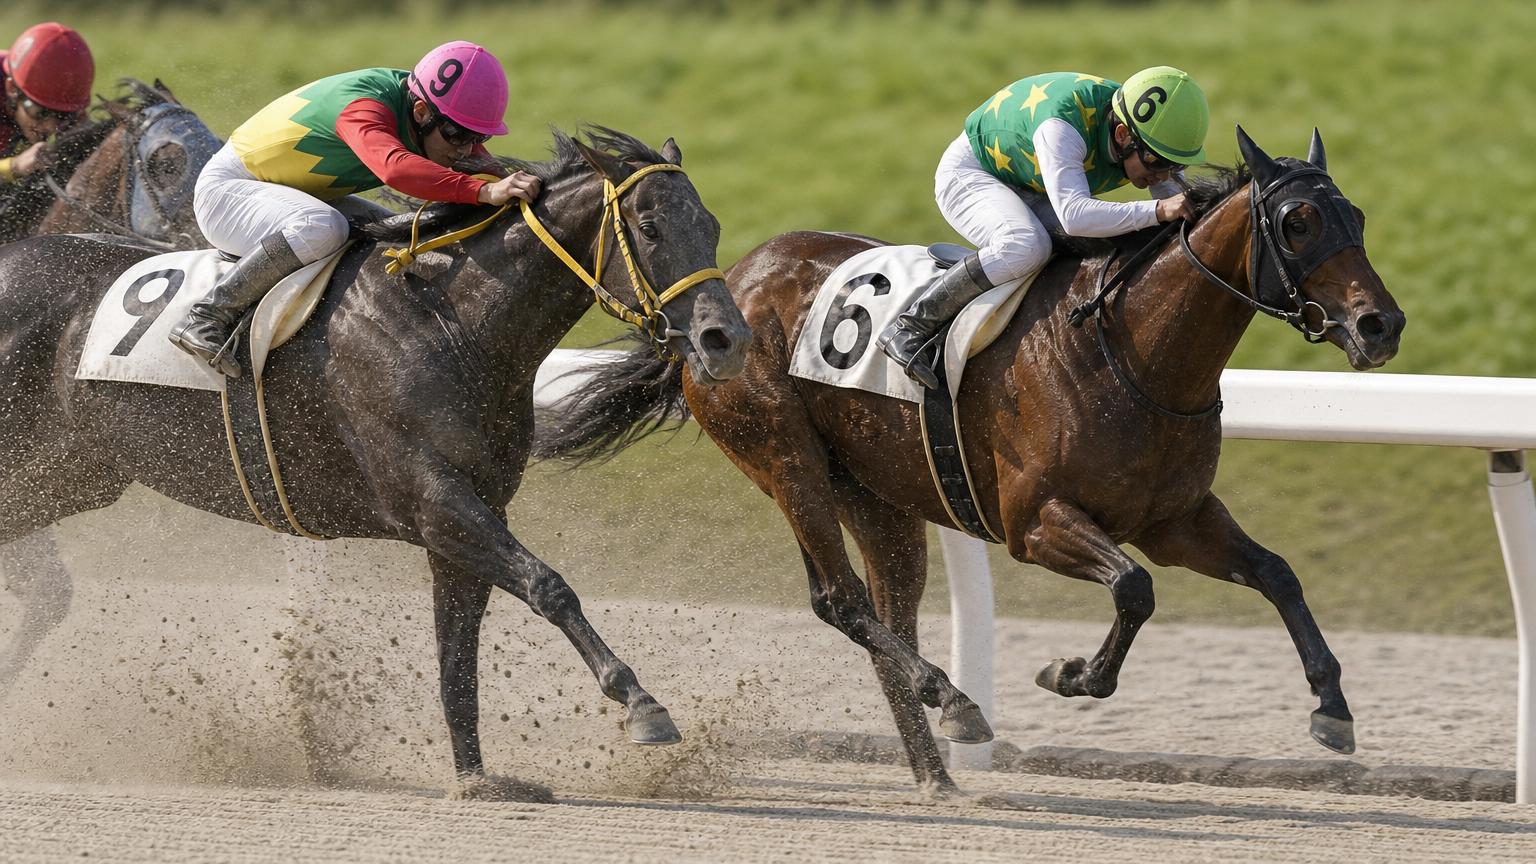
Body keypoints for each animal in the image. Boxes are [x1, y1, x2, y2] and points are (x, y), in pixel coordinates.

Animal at [0, 127, 751, 799]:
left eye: (712, 225)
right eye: (649, 227)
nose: (726, 338)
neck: (449, 320)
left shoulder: (467, 515)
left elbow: (458, 654)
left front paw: (476, 778)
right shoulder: (433, 501)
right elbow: (549, 586)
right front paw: (643, 706)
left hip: (72, 476)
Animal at [534, 127, 1406, 793]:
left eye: (1356, 214)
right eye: (1296, 221)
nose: (1381, 325)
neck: (1132, 351)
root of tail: (719, 294)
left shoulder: (1176, 518)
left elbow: (1276, 574)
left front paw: (1332, 710)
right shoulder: (1034, 522)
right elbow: (1134, 588)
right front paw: (1071, 675)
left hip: (877, 495)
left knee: (886, 615)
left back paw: (937, 773)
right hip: (785, 461)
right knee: (840, 601)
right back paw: (954, 704)